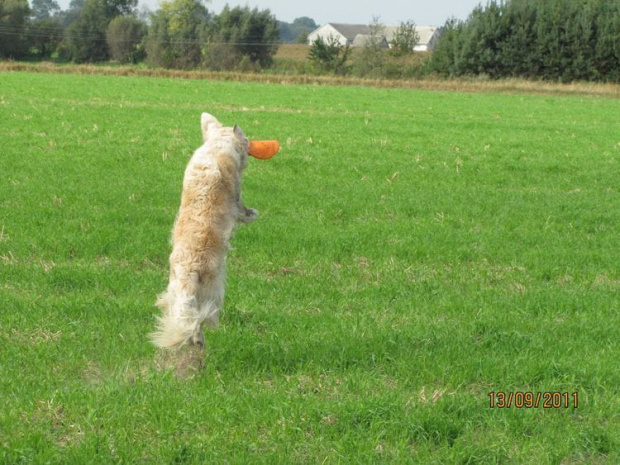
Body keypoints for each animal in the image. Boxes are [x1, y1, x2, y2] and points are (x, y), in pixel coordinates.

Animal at [150, 112, 256, 350]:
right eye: (245, 140)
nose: (250, 146)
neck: (217, 145)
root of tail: (189, 270)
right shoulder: (236, 197)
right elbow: (241, 208)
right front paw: (252, 213)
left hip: (176, 292)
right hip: (214, 289)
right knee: (201, 319)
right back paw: (200, 340)